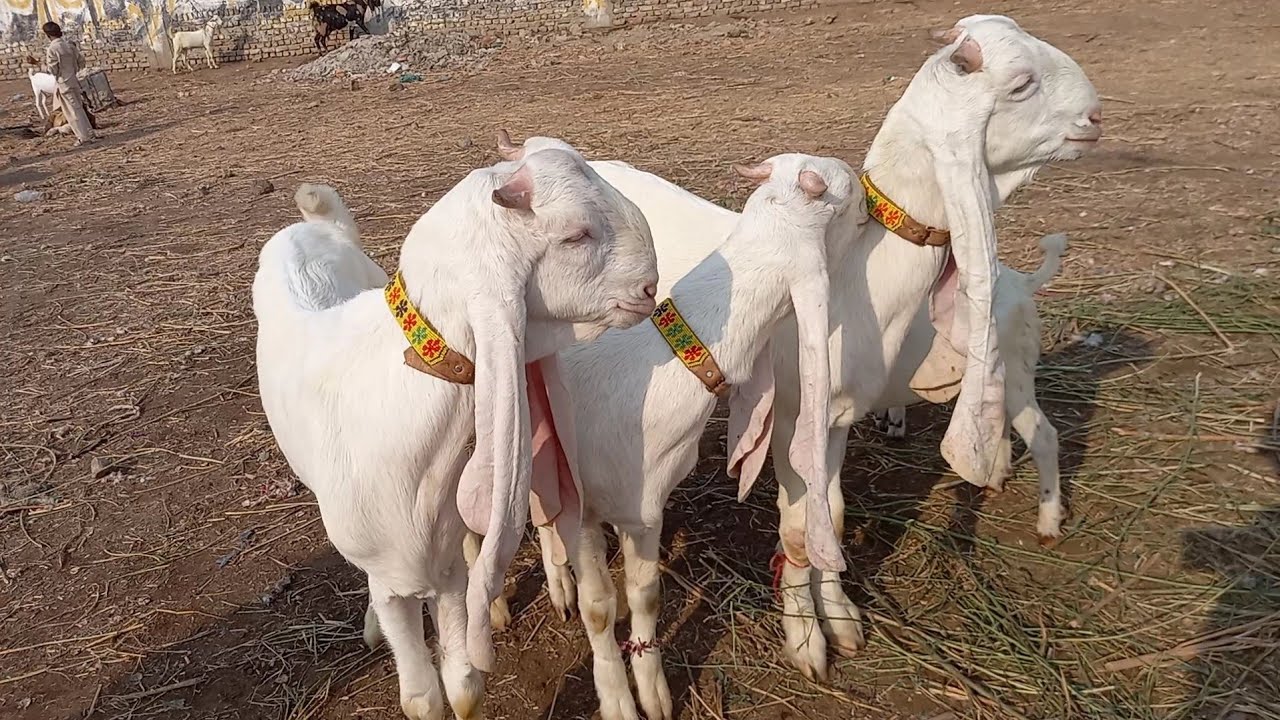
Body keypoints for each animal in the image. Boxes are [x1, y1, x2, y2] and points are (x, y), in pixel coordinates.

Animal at [254, 138, 658, 720]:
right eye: (576, 234)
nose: (650, 287)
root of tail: (311, 224)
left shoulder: (446, 574)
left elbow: (464, 688)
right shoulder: (394, 582)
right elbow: (421, 697)